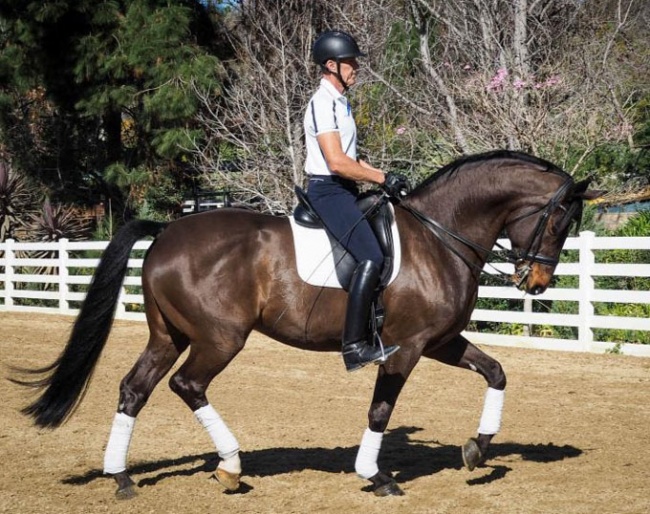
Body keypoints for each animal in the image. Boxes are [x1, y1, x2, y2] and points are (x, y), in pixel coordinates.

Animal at [11, 149, 596, 496]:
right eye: (559, 222)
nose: (536, 283)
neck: (438, 236)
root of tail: (166, 232)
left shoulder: (440, 341)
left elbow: (496, 372)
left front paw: (477, 449)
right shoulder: (406, 347)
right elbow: (381, 409)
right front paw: (376, 475)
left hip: (168, 335)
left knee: (135, 388)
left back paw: (122, 476)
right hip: (220, 338)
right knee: (187, 384)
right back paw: (230, 466)